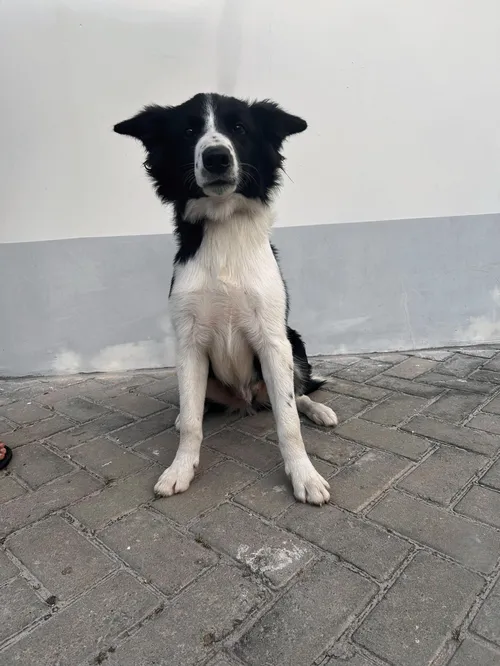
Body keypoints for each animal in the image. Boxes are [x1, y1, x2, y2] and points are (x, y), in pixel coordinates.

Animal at [115, 91, 338, 500]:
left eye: (239, 128)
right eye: (189, 131)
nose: (216, 156)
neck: (224, 231)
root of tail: (245, 399)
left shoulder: (273, 340)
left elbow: (288, 421)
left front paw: (304, 475)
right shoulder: (189, 344)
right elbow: (191, 422)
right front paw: (180, 469)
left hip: (294, 342)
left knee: (297, 394)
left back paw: (319, 411)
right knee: (196, 408)